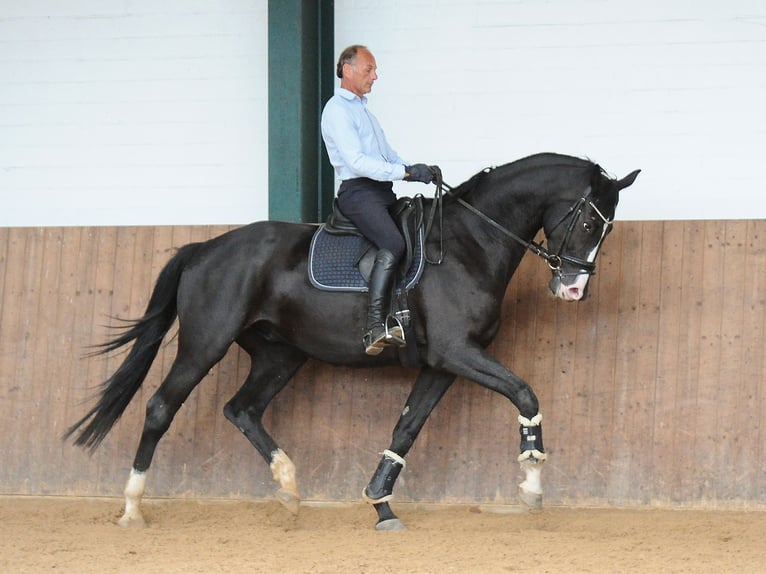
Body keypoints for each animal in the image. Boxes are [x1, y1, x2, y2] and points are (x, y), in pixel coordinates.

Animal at [67, 152, 640, 532]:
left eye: (608, 229)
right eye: (588, 221)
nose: (572, 289)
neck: (468, 244)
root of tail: (207, 247)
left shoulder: (442, 363)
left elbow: (407, 427)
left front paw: (380, 505)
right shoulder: (459, 353)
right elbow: (525, 393)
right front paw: (532, 485)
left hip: (280, 355)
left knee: (242, 409)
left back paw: (289, 489)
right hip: (205, 344)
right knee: (162, 407)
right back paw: (132, 507)